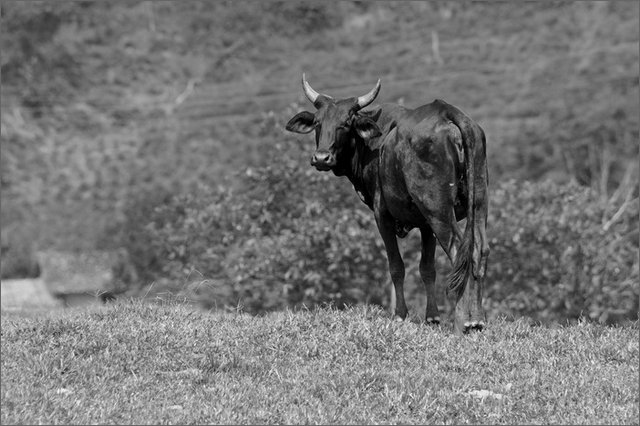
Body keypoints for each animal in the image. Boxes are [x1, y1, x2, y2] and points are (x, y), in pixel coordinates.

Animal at [286, 75, 490, 334]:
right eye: (317, 123)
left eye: (346, 123)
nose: (322, 158)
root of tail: (448, 112)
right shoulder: (425, 225)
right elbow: (427, 268)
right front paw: (432, 317)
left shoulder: (382, 215)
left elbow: (396, 266)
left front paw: (400, 315)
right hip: (478, 204)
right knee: (479, 250)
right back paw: (477, 318)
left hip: (438, 209)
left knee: (458, 251)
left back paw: (461, 320)